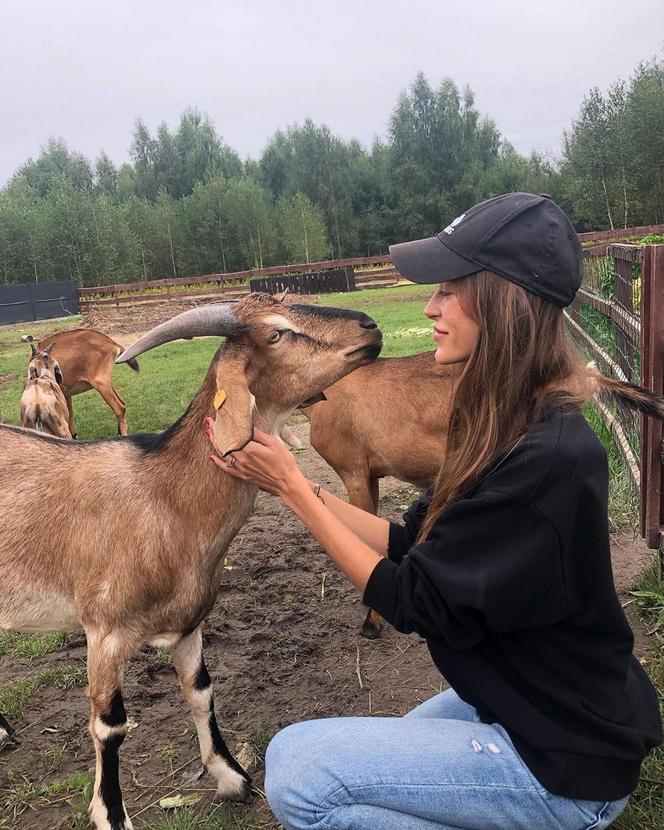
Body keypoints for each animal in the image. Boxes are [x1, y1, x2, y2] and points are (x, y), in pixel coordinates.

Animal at [0, 294, 382, 830]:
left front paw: (231, 778)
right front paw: (111, 813)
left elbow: (201, 691)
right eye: (276, 333)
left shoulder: (188, 621)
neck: (163, 500)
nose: (370, 326)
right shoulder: (104, 633)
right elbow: (109, 726)